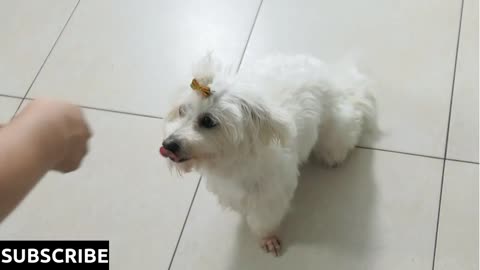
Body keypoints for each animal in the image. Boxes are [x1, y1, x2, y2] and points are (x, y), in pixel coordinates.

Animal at [161, 53, 376, 256]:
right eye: (181, 110)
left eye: (208, 121)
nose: (168, 145)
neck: (232, 160)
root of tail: (330, 75)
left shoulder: (268, 197)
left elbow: (263, 221)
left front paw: (267, 238)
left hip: (336, 129)